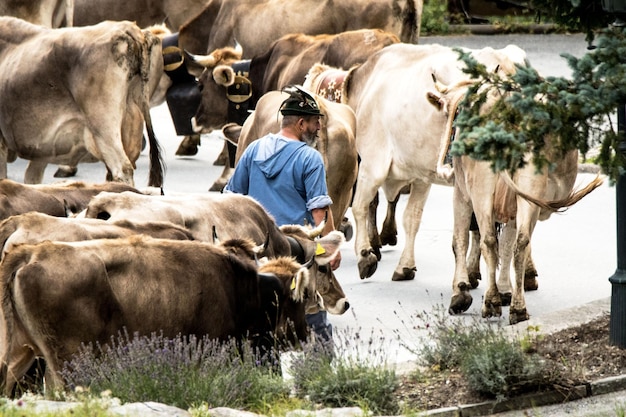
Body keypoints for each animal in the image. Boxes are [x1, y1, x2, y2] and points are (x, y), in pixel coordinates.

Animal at [0, 236, 312, 392]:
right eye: (303, 296)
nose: (305, 335)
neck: (242, 283)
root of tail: (32, 253)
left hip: (21, 353)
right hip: (67, 362)